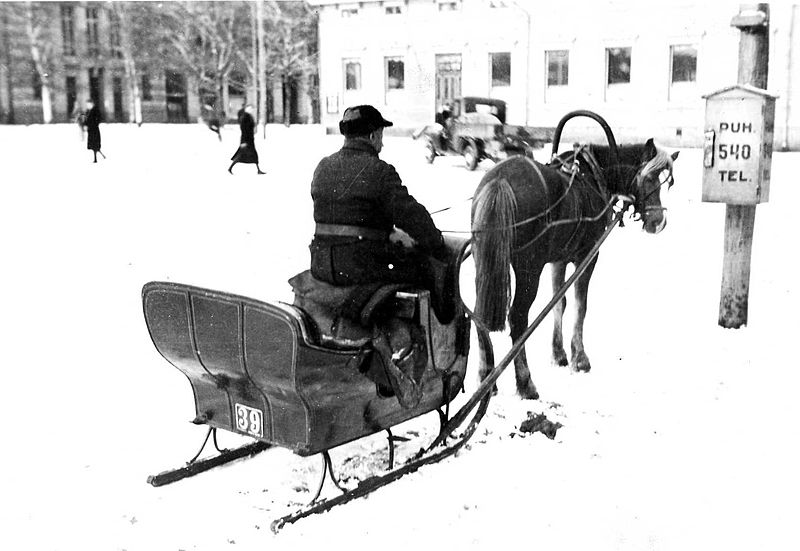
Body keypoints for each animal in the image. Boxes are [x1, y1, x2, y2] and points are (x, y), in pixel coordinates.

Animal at [472, 137, 680, 396]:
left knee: (479, 314)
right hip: (529, 269)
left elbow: (559, 303)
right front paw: (579, 358)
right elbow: (580, 305)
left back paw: (486, 378)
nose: (659, 222)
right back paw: (525, 382)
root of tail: (500, 180)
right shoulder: (587, 256)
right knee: (518, 318)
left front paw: (558, 353)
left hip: (485, 262)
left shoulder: (558, 260)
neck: (594, 175)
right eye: (650, 177)